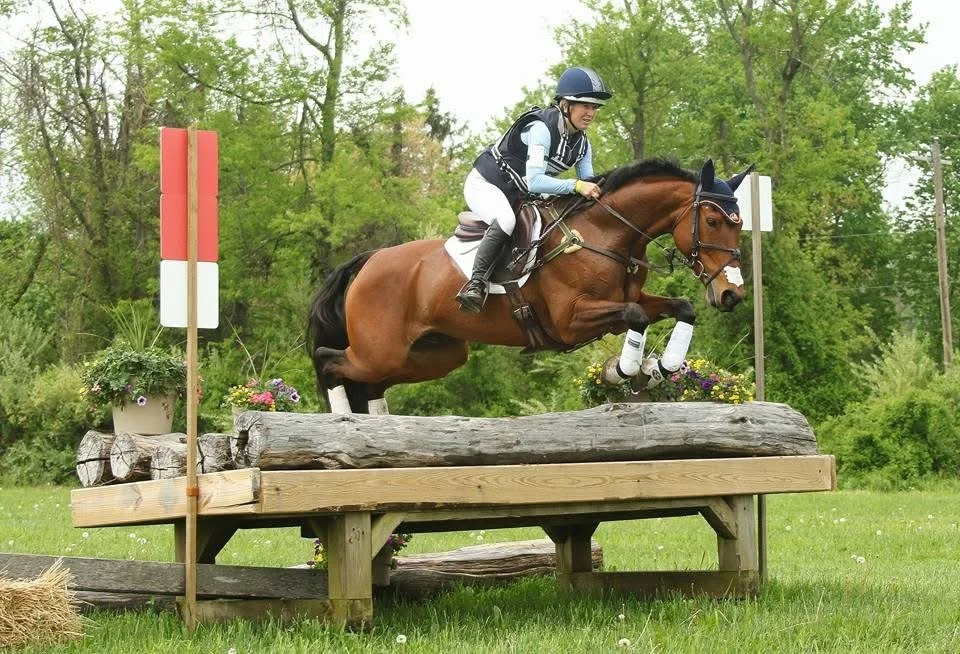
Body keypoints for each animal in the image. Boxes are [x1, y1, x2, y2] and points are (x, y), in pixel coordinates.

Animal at [308, 158, 751, 413]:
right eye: (713, 221)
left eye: (740, 223)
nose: (732, 295)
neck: (606, 234)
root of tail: (369, 261)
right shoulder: (570, 320)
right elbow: (636, 315)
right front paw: (624, 371)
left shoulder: (627, 300)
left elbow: (678, 308)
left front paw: (659, 367)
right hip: (379, 351)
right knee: (329, 360)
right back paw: (343, 421)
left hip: (433, 355)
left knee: (369, 383)